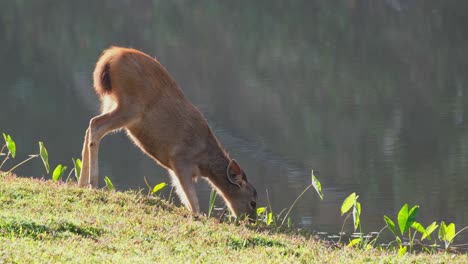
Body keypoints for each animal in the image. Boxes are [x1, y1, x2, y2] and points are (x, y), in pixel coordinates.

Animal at [78, 46, 258, 220]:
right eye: (253, 202)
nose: (252, 221)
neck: (204, 160)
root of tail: (109, 57)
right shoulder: (180, 158)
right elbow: (192, 198)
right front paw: (198, 216)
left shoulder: (173, 166)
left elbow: (182, 194)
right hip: (129, 106)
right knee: (96, 124)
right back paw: (92, 183)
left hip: (111, 102)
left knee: (89, 126)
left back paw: (81, 183)